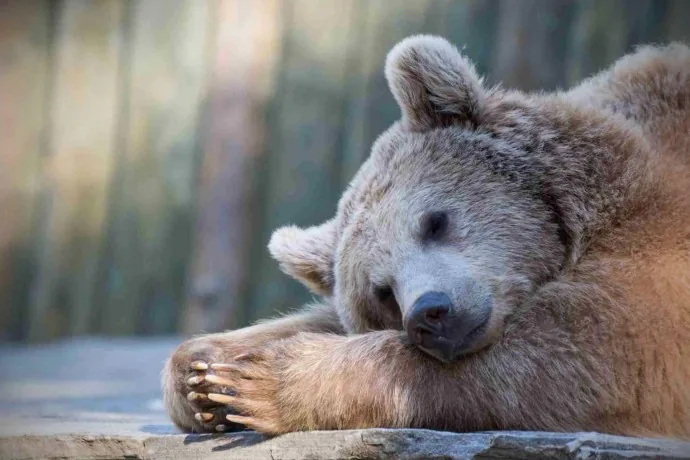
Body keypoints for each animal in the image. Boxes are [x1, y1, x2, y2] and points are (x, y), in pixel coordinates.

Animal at [162, 35, 690, 439]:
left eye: (435, 221)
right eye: (381, 291)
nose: (431, 313)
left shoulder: (652, 237)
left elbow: (592, 348)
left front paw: (264, 379)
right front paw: (204, 373)